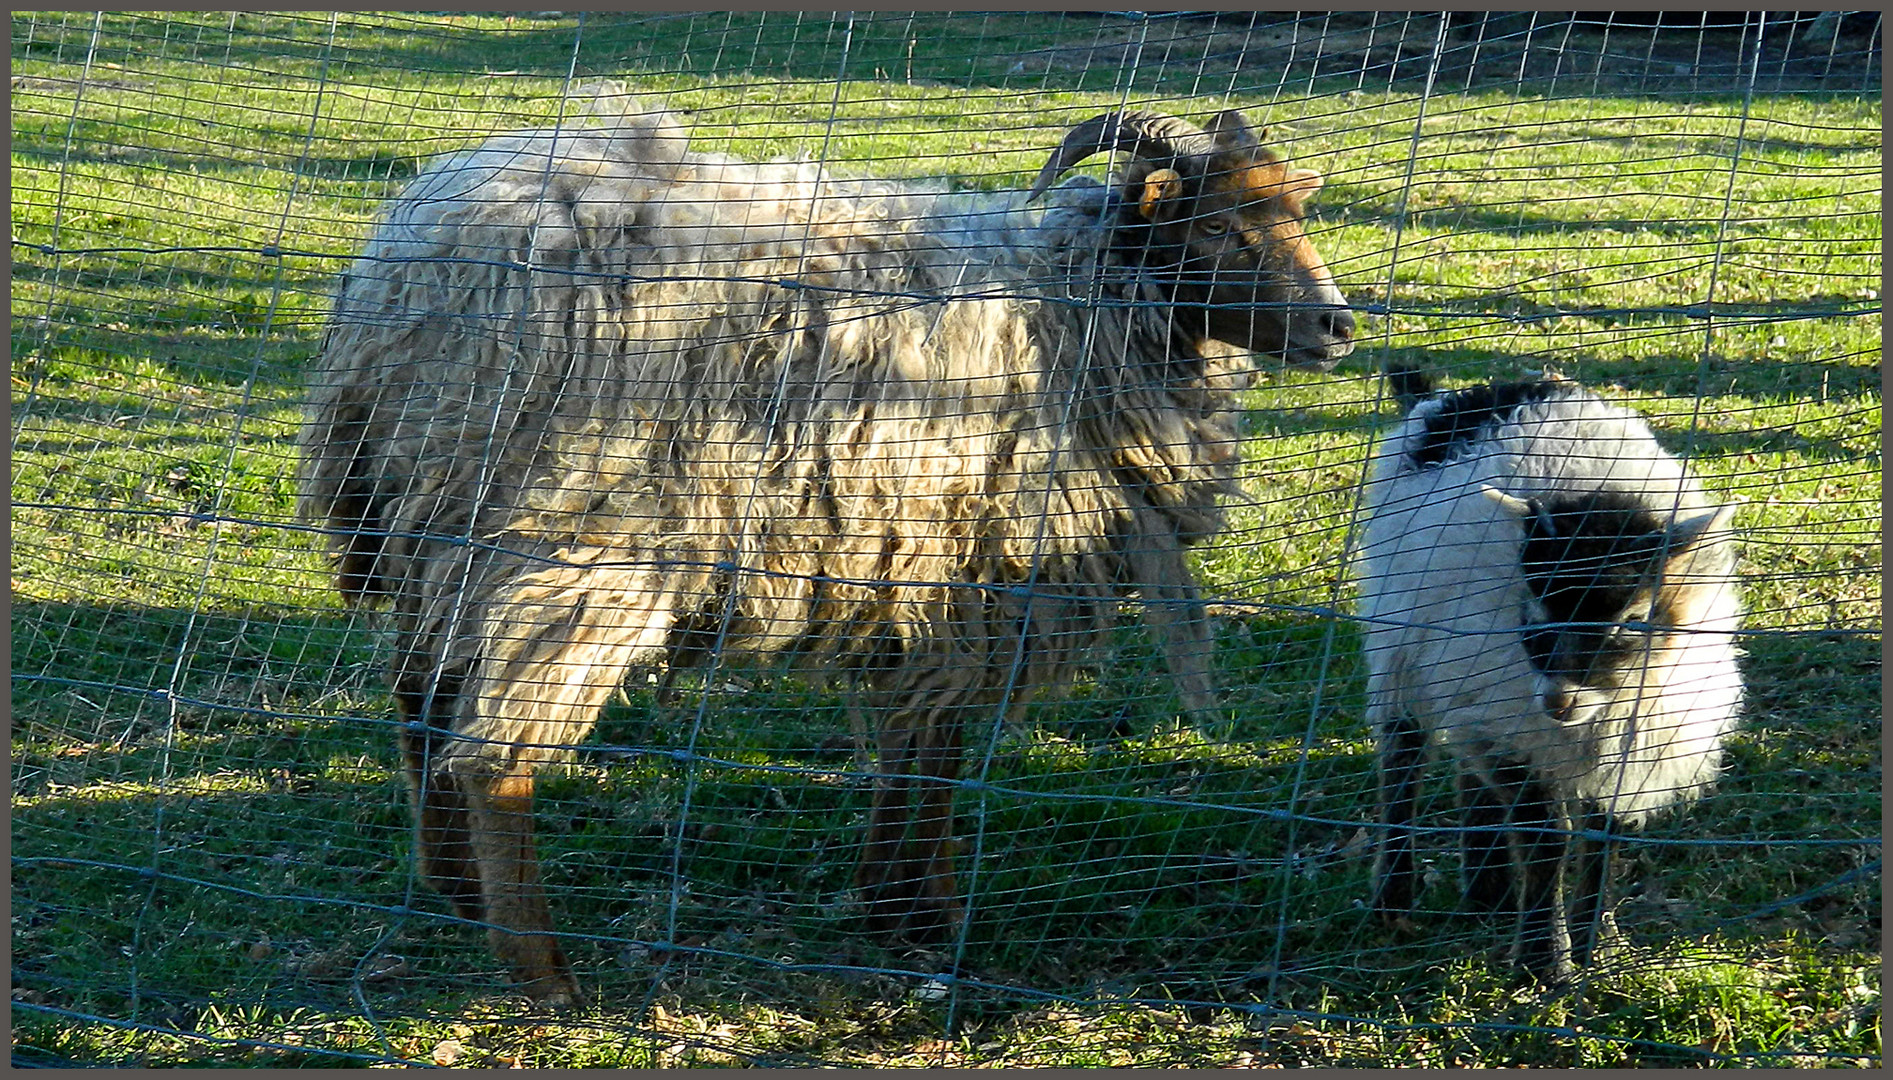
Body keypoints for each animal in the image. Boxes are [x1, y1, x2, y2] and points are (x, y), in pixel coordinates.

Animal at [295, 95, 1362, 1006]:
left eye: (1291, 209)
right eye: (1216, 225)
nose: (1338, 326)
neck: (1078, 305)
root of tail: (406, 270)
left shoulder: (932, 573)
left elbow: (921, 743)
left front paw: (900, 899)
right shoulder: (984, 571)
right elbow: (936, 750)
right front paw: (920, 917)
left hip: (428, 521)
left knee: (420, 699)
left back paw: (454, 889)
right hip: (569, 538)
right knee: (494, 755)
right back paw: (544, 972)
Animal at [1355, 376, 1733, 983]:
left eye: (1633, 618)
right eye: (1535, 612)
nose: (1558, 701)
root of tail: (1472, 392)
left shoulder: (1616, 742)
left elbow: (1601, 837)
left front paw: (1597, 944)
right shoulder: (1513, 720)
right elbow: (1545, 837)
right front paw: (1545, 963)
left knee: (1467, 771)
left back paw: (1487, 894)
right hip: (1401, 641)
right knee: (1402, 755)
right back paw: (1395, 897)